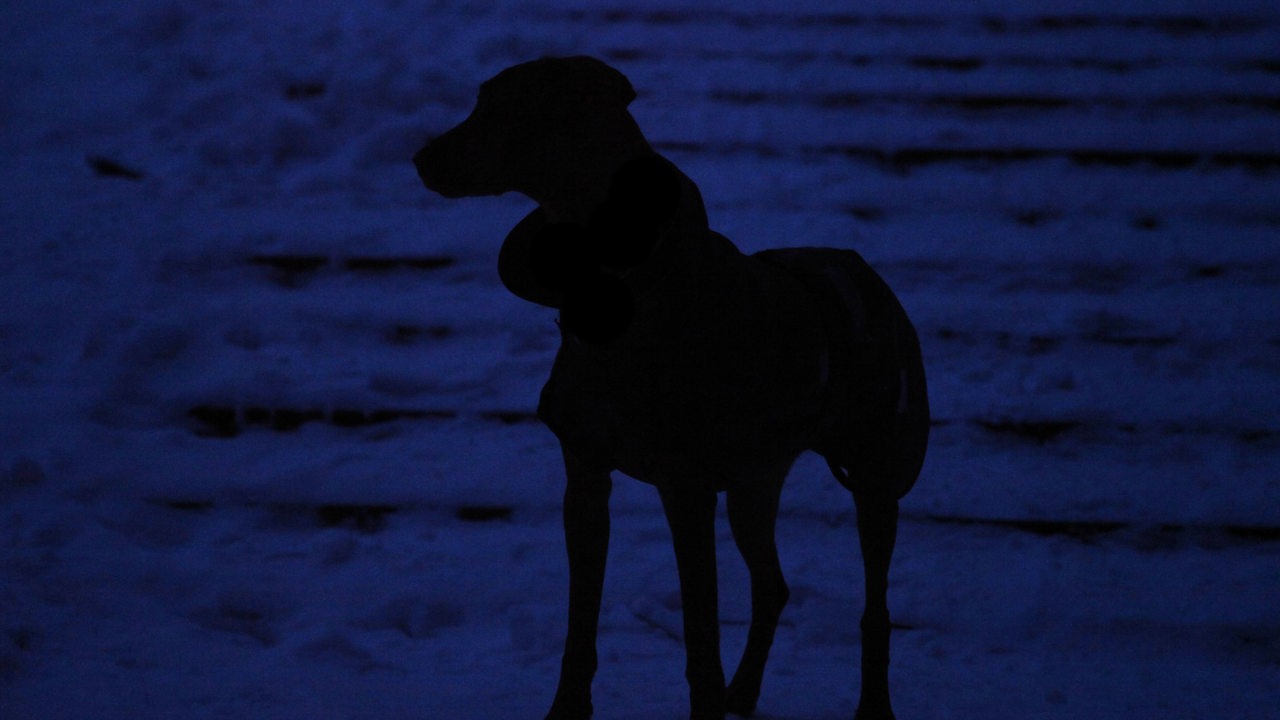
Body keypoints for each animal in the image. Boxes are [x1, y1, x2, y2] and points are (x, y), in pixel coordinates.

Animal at [414, 56, 926, 717]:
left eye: (495, 105)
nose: (420, 158)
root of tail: (872, 279)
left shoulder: (687, 490)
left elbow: (700, 637)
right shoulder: (586, 477)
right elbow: (580, 625)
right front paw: (566, 708)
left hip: (877, 474)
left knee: (874, 604)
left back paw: (869, 706)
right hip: (755, 480)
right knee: (772, 583)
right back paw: (744, 692)